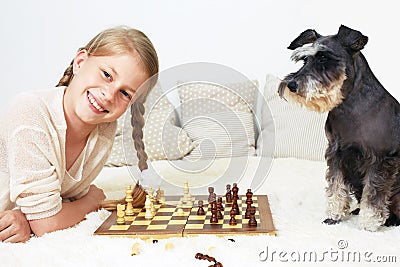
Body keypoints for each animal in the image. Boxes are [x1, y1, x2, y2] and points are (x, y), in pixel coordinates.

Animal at [278, 24, 400, 231]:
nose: (292, 85)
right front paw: (334, 216)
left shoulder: (380, 159)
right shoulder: (336, 154)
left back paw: (391, 219)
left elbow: (373, 194)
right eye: (305, 60)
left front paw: (369, 224)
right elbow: (336, 187)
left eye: (324, 58)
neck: (349, 106)